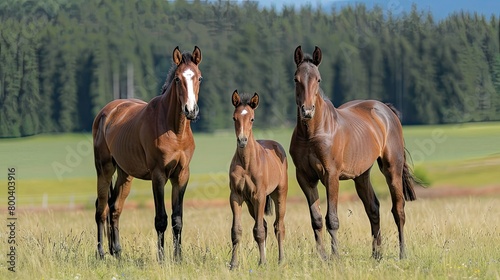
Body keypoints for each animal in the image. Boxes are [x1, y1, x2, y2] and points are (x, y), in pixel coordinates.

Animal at [93, 45, 202, 260]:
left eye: (199, 78)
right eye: (178, 79)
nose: (190, 110)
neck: (175, 131)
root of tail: (106, 112)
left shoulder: (181, 175)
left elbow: (177, 219)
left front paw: (178, 258)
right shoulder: (158, 176)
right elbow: (161, 219)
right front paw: (161, 258)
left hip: (125, 175)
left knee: (115, 207)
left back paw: (117, 251)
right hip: (104, 170)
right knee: (101, 209)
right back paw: (101, 252)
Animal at [229, 90, 288, 270]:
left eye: (252, 119)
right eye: (234, 118)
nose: (242, 140)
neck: (246, 163)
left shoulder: (259, 196)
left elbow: (259, 231)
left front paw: (263, 263)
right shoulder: (236, 196)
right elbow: (236, 231)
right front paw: (233, 264)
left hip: (279, 194)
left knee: (278, 226)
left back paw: (281, 260)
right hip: (250, 203)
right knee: (266, 225)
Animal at [290, 44, 418, 260]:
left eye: (318, 79)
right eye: (296, 79)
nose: (307, 111)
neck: (312, 133)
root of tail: (387, 111)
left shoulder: (331, 176)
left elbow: (332, 218)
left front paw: (335, 257)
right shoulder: (305, 177)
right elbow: (316, 219)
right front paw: (322, 257)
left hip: (392, 169)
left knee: (398, 210)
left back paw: (402, 254)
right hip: (361, 175)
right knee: (373, 208)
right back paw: (376, 255)